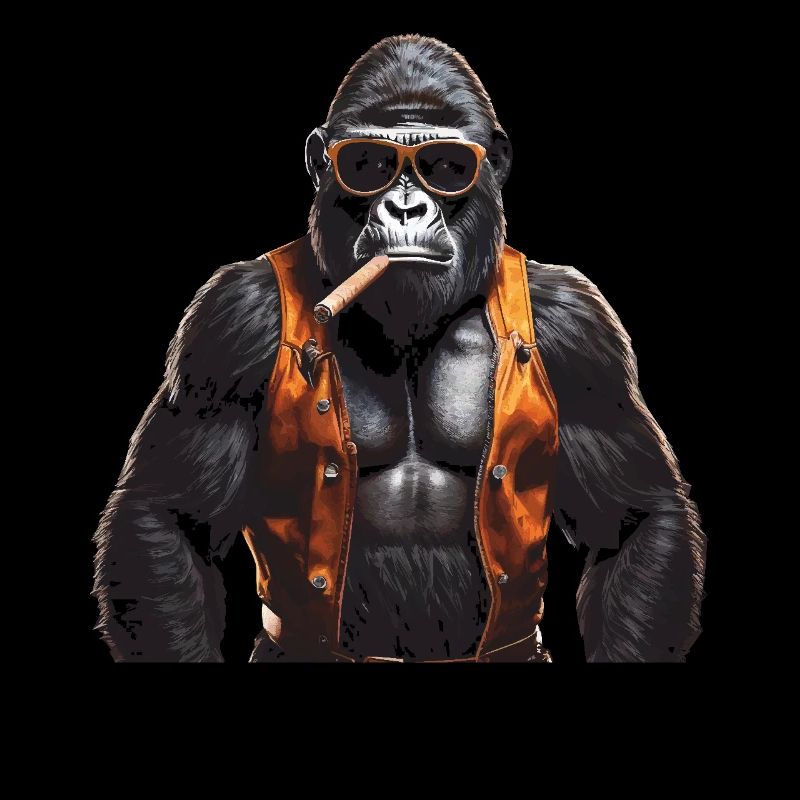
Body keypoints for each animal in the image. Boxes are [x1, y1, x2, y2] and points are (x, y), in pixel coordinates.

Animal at [92, 34, 706, 662]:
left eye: (447, 167)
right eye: (367, 164)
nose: (405, 206)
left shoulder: (583, 332)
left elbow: (637, 516)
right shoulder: (226, 325)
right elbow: (168, 515)